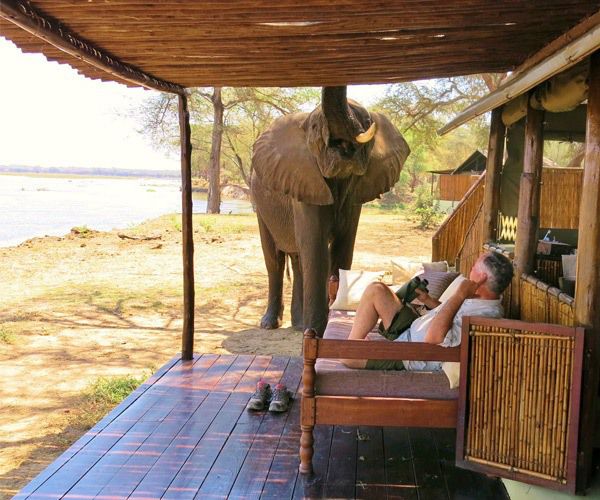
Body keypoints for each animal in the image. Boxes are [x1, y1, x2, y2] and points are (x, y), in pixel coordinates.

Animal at [248, 86, 408, 336]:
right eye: (315, 127)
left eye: (367, 121)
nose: (344, 145)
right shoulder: (304, 179)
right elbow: (315, 248)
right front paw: (315, 333)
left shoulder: (354, 193)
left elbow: (343, 248)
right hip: (260, 204)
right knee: (274, 260)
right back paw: (270, 324)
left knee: (298, 260)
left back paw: (298, 325)